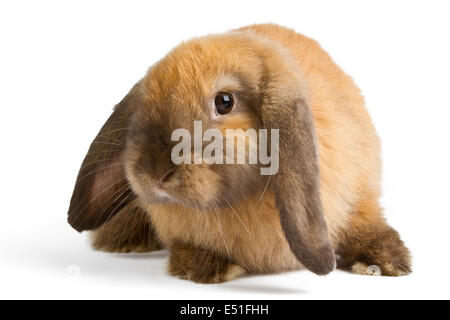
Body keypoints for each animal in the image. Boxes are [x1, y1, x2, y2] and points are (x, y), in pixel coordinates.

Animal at [67, 23, 412, 282]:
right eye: (144, 107)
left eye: (225, 102)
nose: (154, 174)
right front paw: (208, 267)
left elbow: (365, 224)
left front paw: (386, 262)